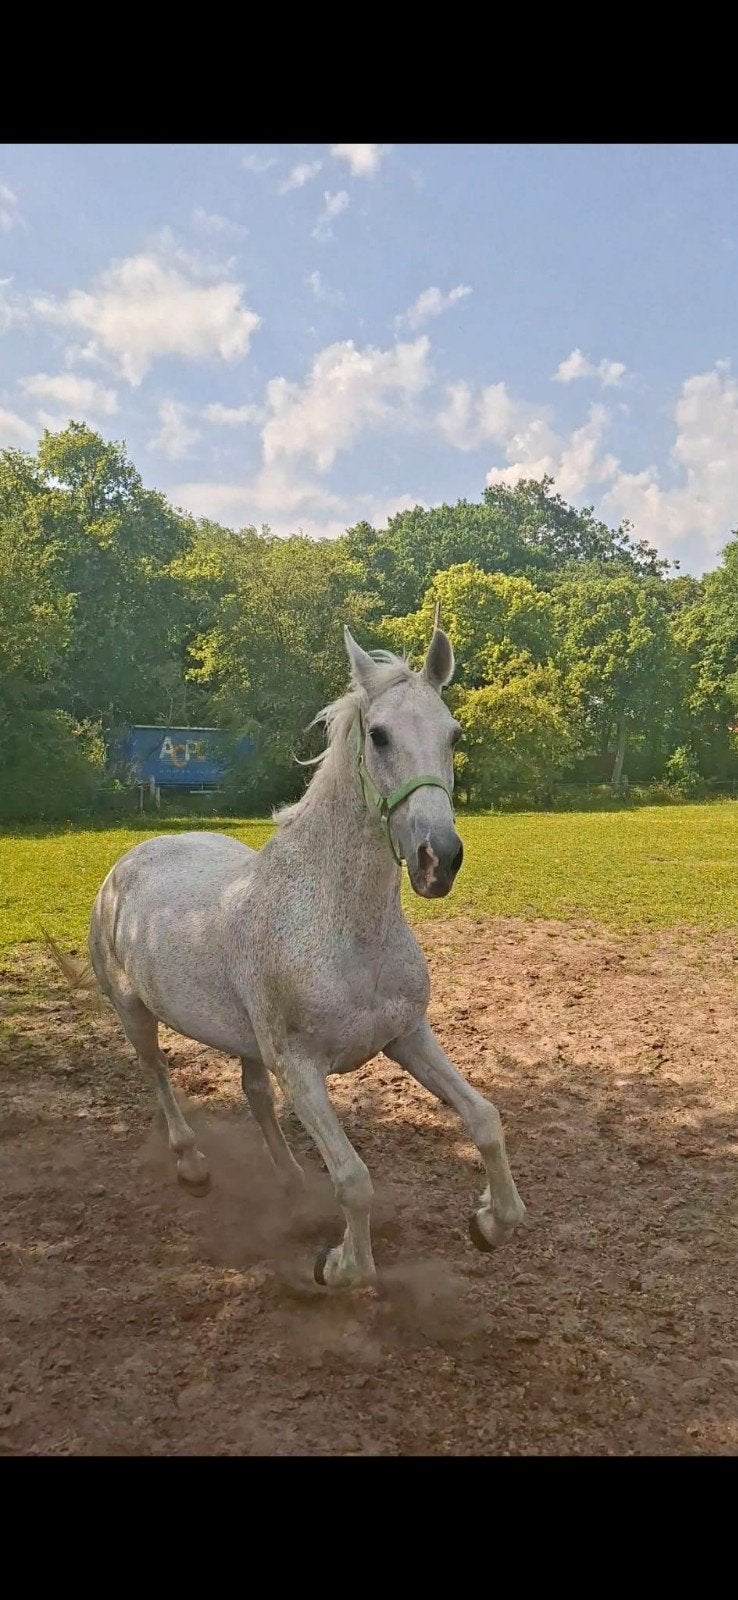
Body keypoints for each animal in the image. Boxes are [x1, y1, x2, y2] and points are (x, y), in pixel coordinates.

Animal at [49, 619, 525, 1289]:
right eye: (379, 736)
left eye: (453, 734)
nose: (439, 860)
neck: (341, 927)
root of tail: (129, 861)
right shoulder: (300, 1068)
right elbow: (354, 1180)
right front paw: (340, 1266)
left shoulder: (406, 1035)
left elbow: (484, 1120)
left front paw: (490, 1224)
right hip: (134, 1012)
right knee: (158, 1073)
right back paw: (193, 1165)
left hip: (248, 1040)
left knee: (253, 1093)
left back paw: (292, 1185)